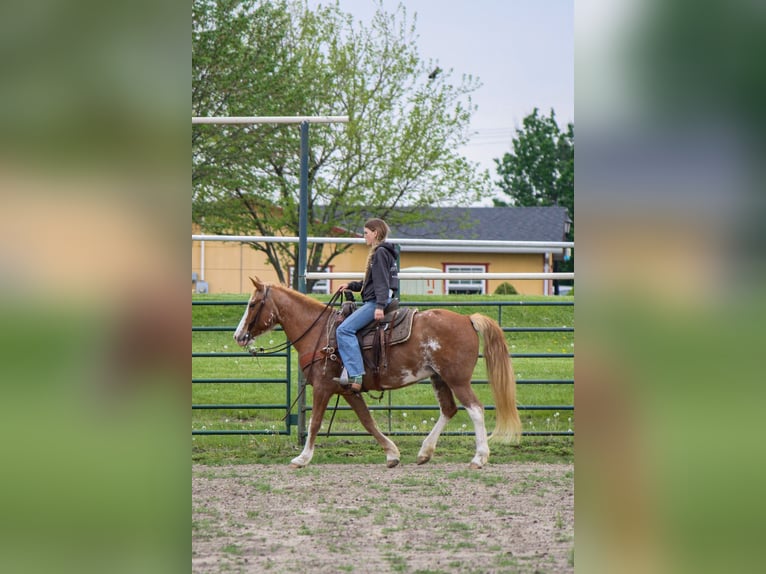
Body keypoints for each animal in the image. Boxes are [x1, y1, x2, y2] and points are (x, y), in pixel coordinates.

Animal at [233, 277, 522, 469]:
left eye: (253, 304)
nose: (238, 336)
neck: (319, 332)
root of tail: (467, 319)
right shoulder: (347, 390)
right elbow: (367, 421)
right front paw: (392, 454)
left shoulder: (324, 386)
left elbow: (315, 422)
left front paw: (302, 458)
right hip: (438, 378)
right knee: (449, 410)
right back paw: (425, 452)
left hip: (457, 379)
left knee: (475, 409)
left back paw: (479, 458)